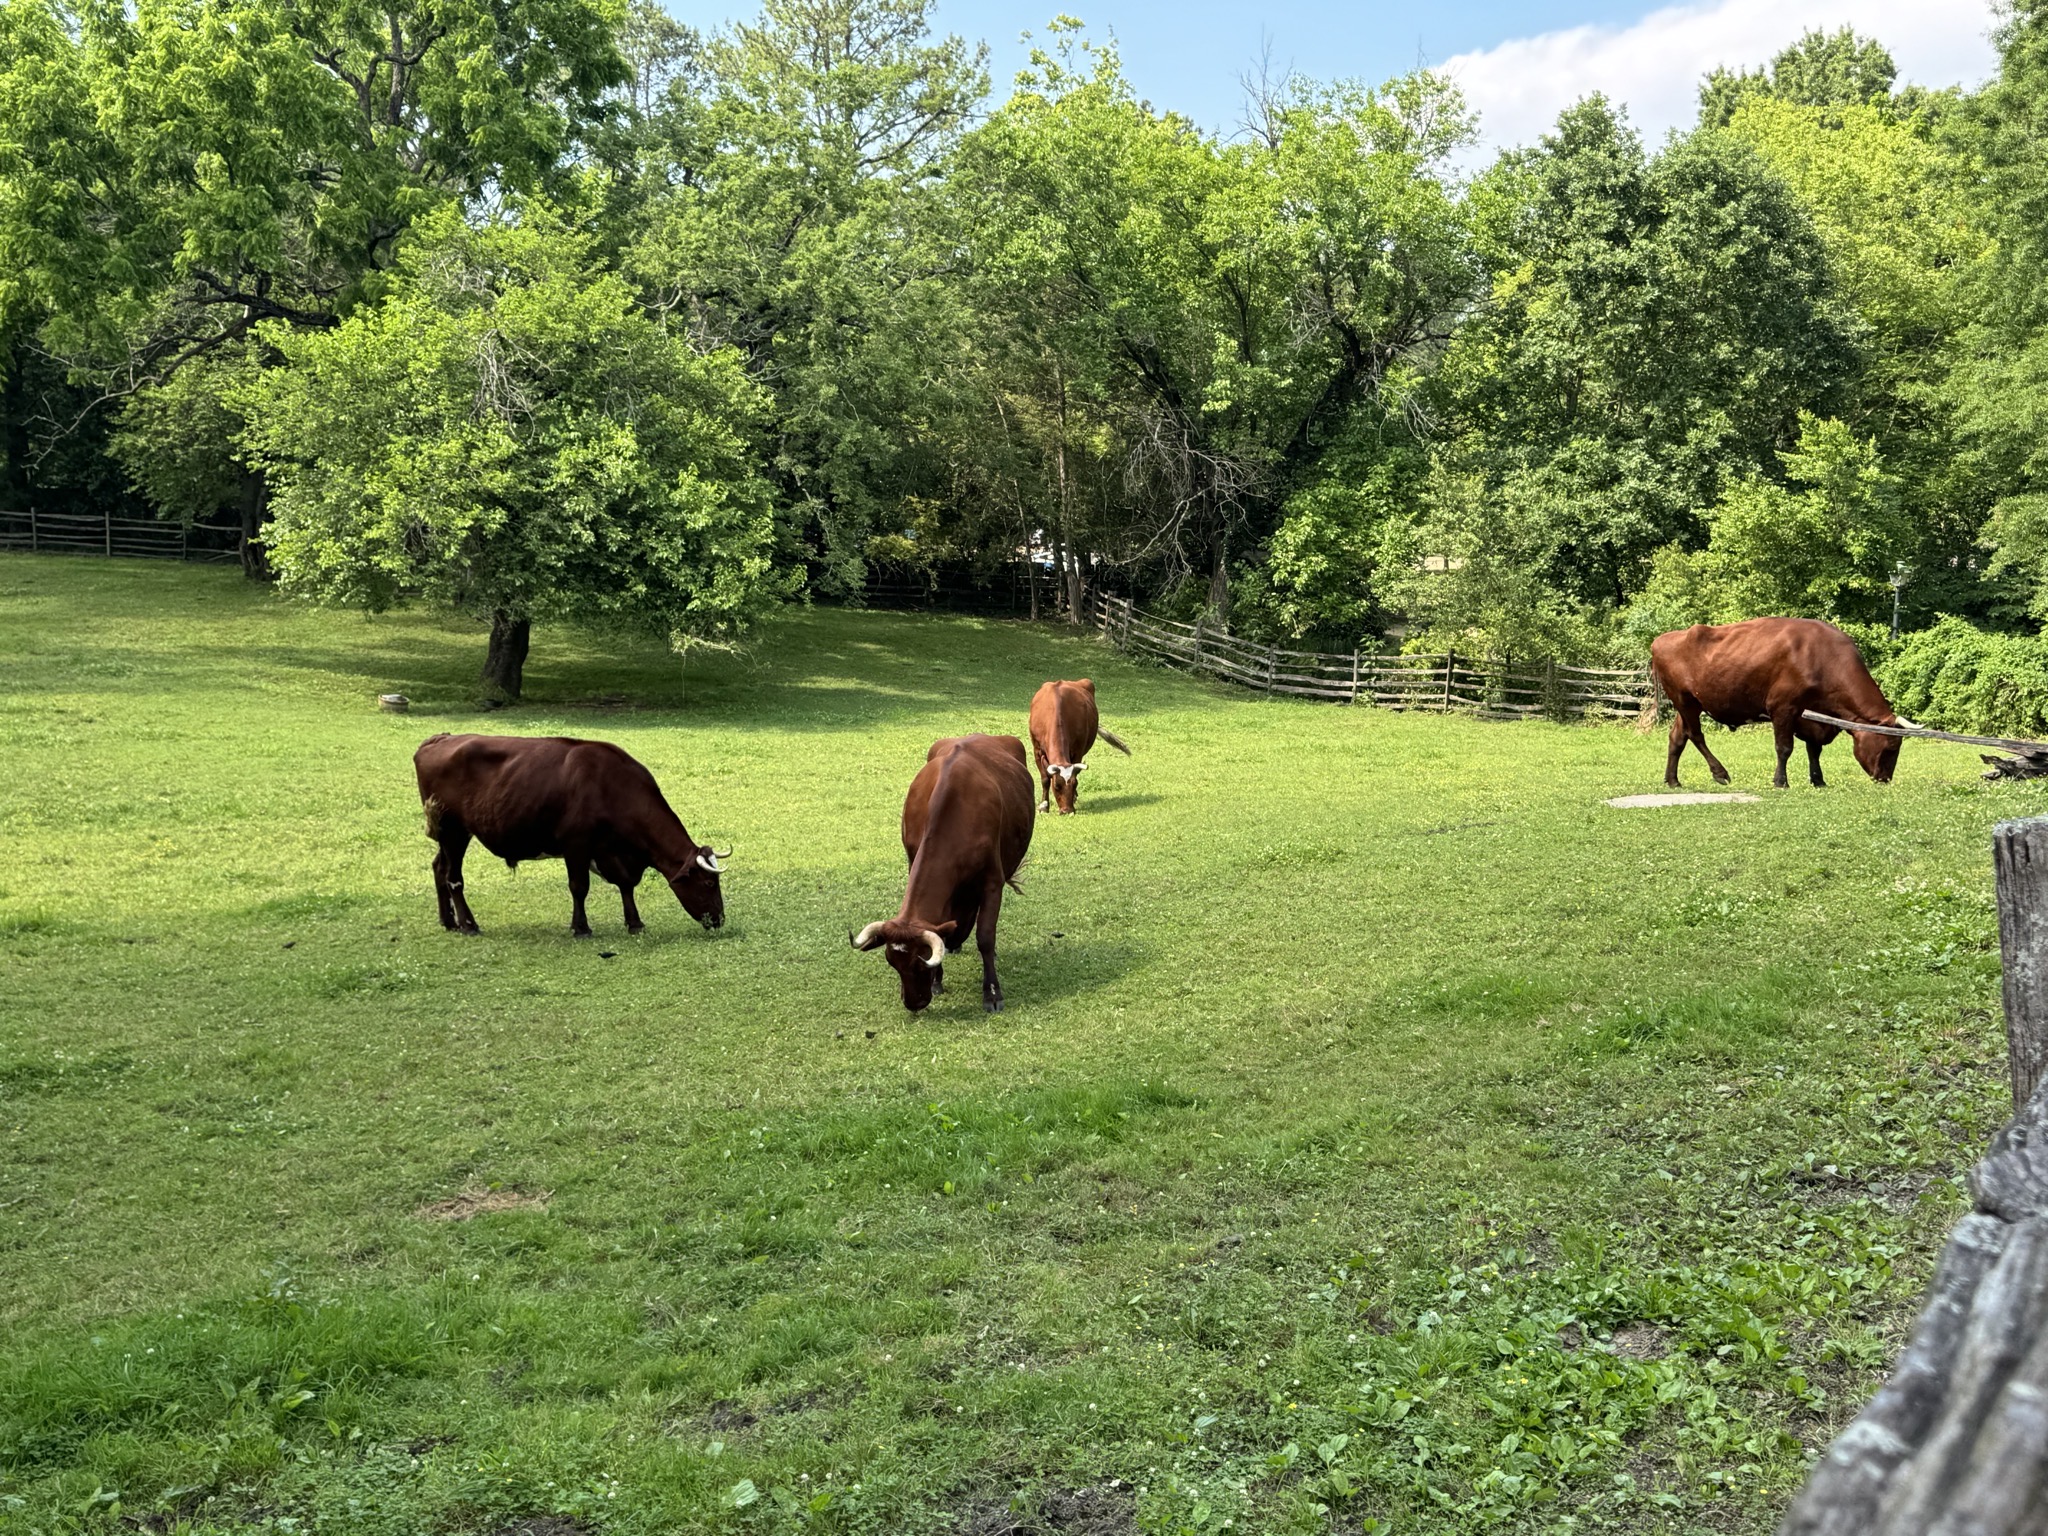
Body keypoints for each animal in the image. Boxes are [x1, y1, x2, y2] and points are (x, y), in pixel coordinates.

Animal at [412, 733, 727, 937]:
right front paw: (581, 927)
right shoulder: (576, 844)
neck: (612, 786)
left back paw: (448, 921)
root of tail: (439, 739)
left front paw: (634, 922)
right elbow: (579, 887)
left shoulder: (610, 851)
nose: (720, 919)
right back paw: (468, 925)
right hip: (454, 830)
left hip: (449, 834)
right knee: (453, 877)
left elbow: (626, 884)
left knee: (438, 867)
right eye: (709, 882)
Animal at [850, 734, 1035, 1013]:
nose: (912, 1003)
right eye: (892, 962)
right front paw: (938, 981)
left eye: (920, 961)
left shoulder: (992, 882)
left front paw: (992, 993)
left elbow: (985, 937)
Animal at [1027, 678, 1131, 814]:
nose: (1067, 810)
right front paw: (1044, 806)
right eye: (1056, 786)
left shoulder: (1078, 751)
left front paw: (1074, 796)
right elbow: (1045, 779)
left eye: (1074, 784)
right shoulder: (1037, 750)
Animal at [1649, 618, 1905, 789]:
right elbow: (1784, 748)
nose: (1885, 779)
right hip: (1685, 700)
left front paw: (1818, 780)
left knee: (1677, 738)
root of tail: (1662, 639)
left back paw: (1673, 780)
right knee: (1696, 735)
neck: (1823, 658)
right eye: (1892, 747)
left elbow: (1814, 749)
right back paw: (1720, 773)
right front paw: (1781, 781)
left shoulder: (1811, 717)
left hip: (1688, 704)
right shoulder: (1783, 708)